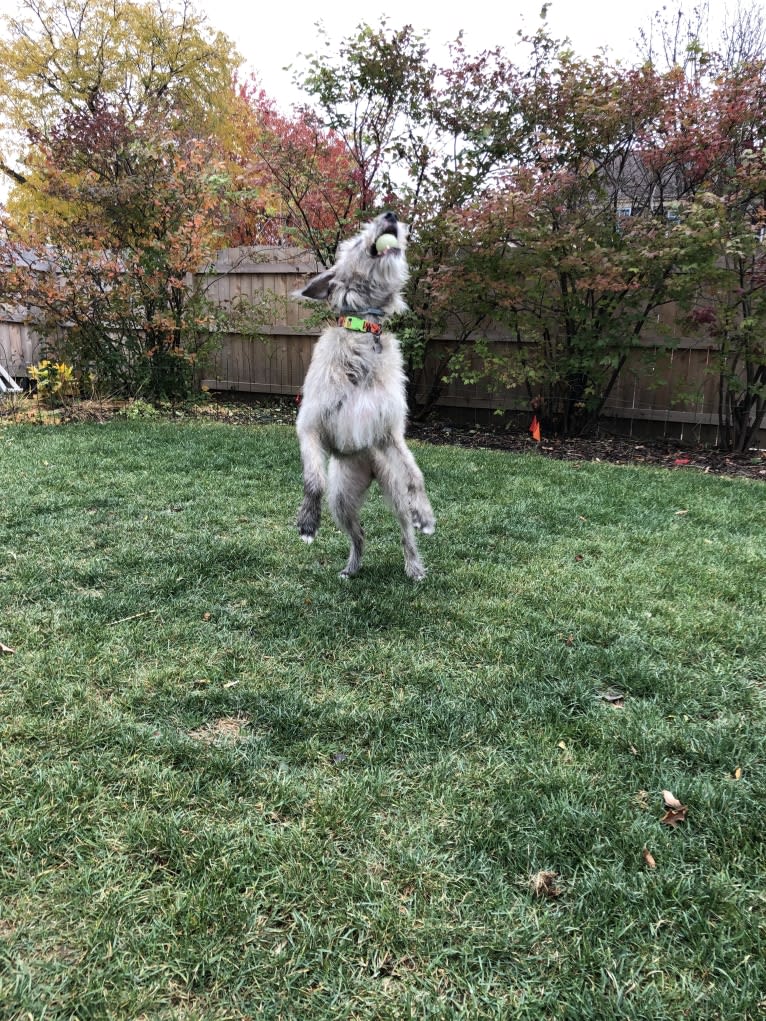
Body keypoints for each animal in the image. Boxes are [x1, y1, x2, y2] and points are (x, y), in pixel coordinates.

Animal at [296, 210, 437, 579]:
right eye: (359, 240)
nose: (391, 214)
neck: (363, 335)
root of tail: (369, 468)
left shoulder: (390, 435)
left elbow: (416, 475)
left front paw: (426, 513)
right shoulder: (309, 425)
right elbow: (313, 478)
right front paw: (307, 522)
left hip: (392, 484)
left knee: (404, 531)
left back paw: (414, 565)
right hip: (342, 497)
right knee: (359, 534)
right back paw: (352, 567)